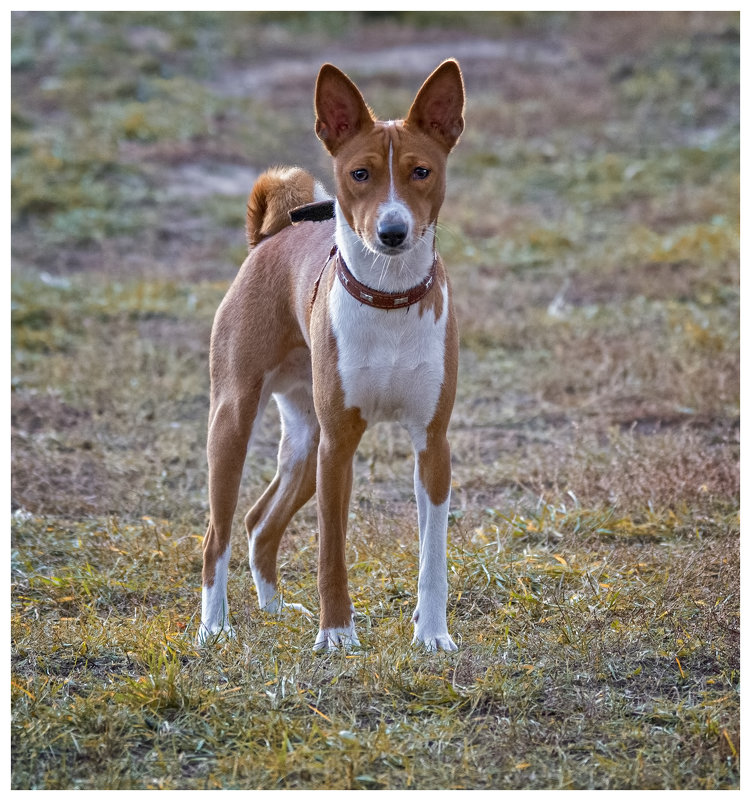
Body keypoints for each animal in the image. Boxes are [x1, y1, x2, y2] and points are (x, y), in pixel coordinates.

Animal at [198, 61, 470, 648]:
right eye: (359, 174)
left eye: (421, 172)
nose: (392, 231)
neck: (389, 298)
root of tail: (267, 238)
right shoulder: (339, 448)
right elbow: (331, 553)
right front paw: (339, 633)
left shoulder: (432, 444)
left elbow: (432, 558)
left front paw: (432, 635)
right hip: (235, 425)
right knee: (217, 535)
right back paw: (214, 627)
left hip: (306, 443)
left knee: (259, 523)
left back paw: (275, 609)